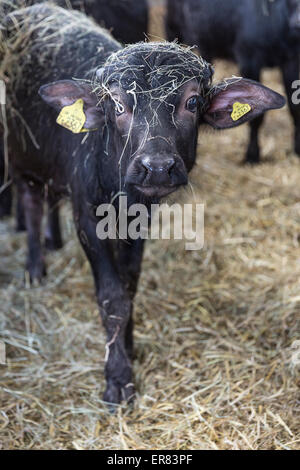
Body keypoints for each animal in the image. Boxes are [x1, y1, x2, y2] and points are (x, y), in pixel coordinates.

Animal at [1, 3, 284, 406]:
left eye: (192, 102)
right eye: (119, 104)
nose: (157, 167)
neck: (118, 187)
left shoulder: (139, 221)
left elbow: (130, 286)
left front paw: (129, 347)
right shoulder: (87, 220)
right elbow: (112, 296)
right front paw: (118, 379)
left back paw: (52, 243)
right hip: (21, 157)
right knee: (32, 202)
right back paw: (35, 268)